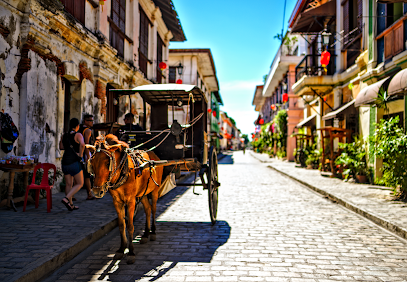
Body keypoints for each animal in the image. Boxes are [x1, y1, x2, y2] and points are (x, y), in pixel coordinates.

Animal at [86, 134, 164, 264]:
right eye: (91, 162)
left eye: (107, 162)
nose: (97, 191)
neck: (123, 171)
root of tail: (153, 154)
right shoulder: (117, 202)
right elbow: (122, 225)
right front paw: (121, 249)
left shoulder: (131, 201)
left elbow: (130, 226)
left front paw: (131, 252)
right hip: (142, 193)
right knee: (147, 209)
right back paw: (145, 234)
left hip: (154, 191)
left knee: (153, 209)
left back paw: (152, 232)